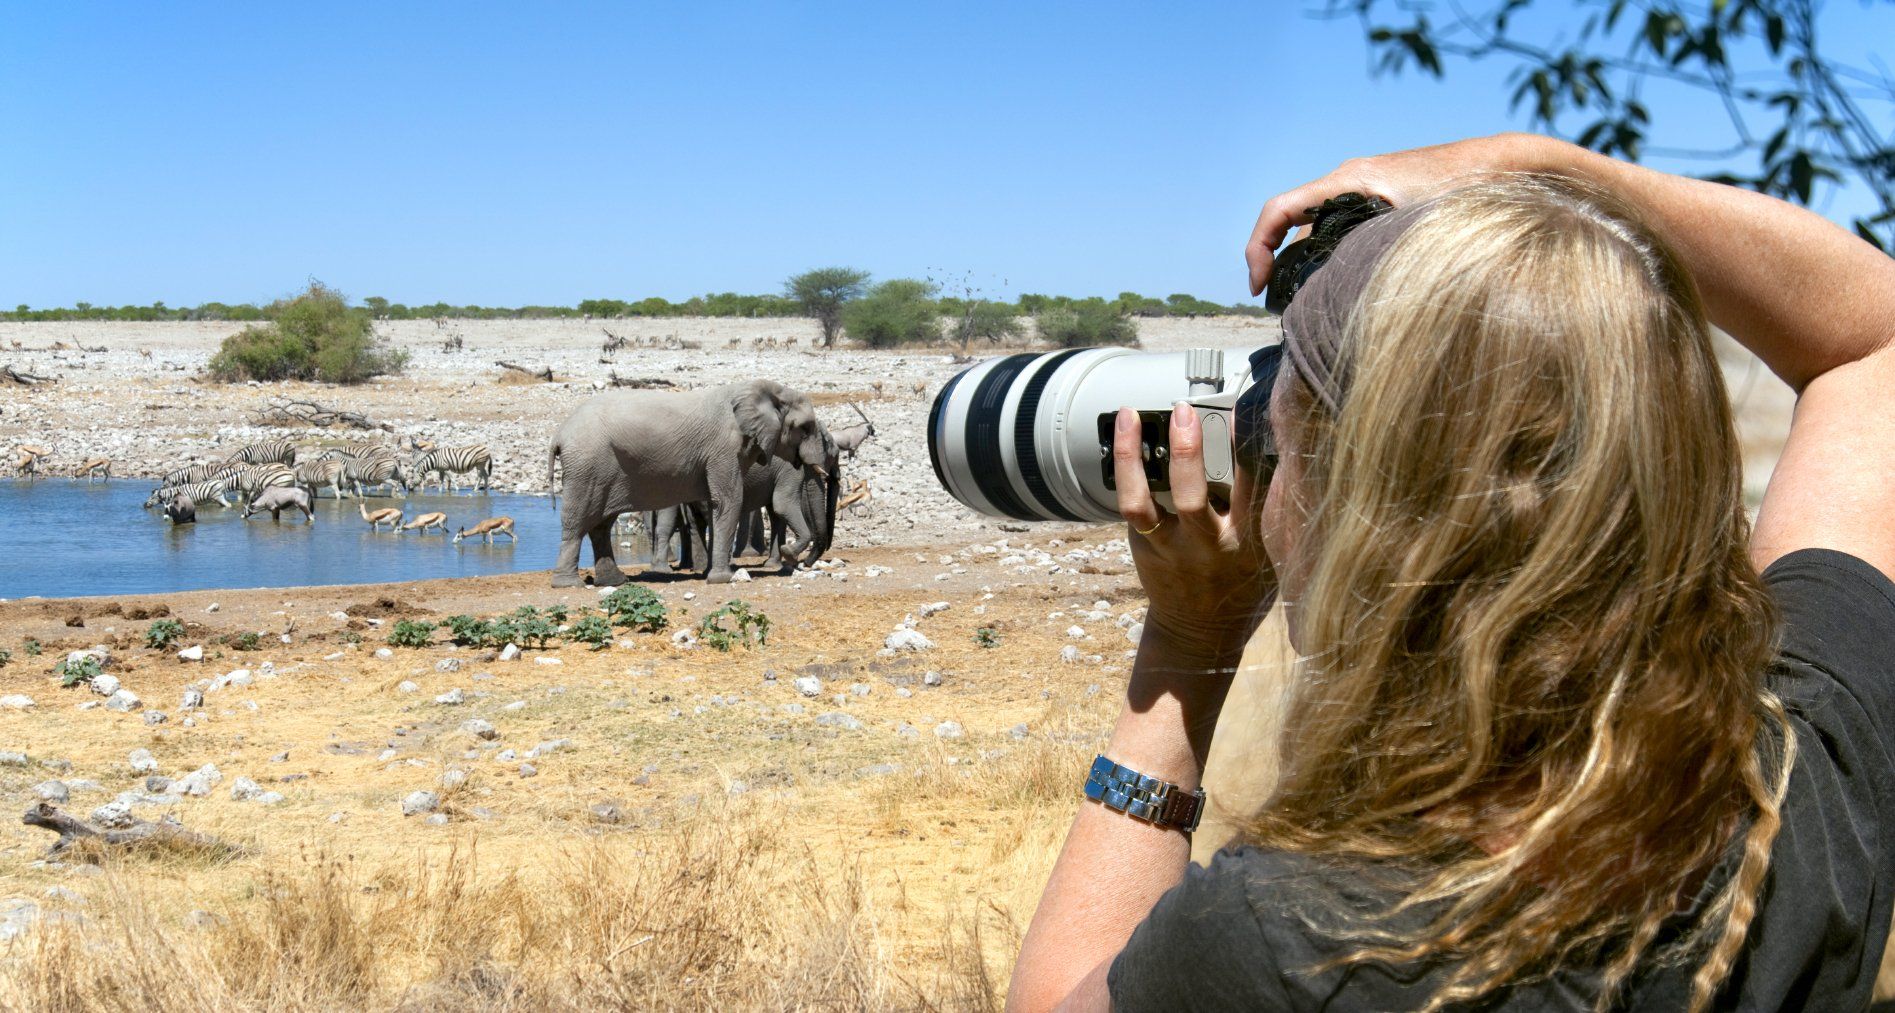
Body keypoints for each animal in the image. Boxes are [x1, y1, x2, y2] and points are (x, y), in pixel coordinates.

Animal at [541, 380, 822, 586]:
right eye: (806, 428)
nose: (790, 552)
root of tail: (559, 435)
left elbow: (715, 505)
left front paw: (711, 574)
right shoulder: (724, 449)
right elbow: (729, 501)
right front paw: (723, 579)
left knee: (601, 524)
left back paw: (615, 581)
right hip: (587, 465)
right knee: (578, 521)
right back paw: (569, 584)